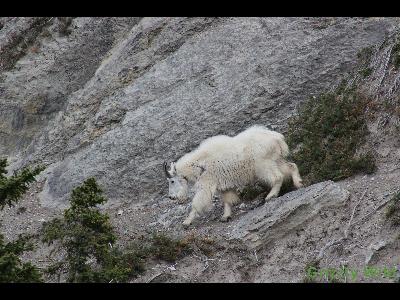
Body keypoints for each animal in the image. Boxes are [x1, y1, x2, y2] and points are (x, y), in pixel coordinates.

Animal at [164, 125, 302, 227]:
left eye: (172, 181)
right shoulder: (223, 185)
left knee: (277, 177)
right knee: (291, 166)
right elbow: (227, 200)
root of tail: (277, 138)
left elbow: (197, 203)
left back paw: (271, 195)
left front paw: (186, 222)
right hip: (276, 160)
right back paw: (298, 183)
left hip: (263, 164)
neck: (199, 165)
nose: (171, 197)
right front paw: (225, 217)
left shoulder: (206, 184)